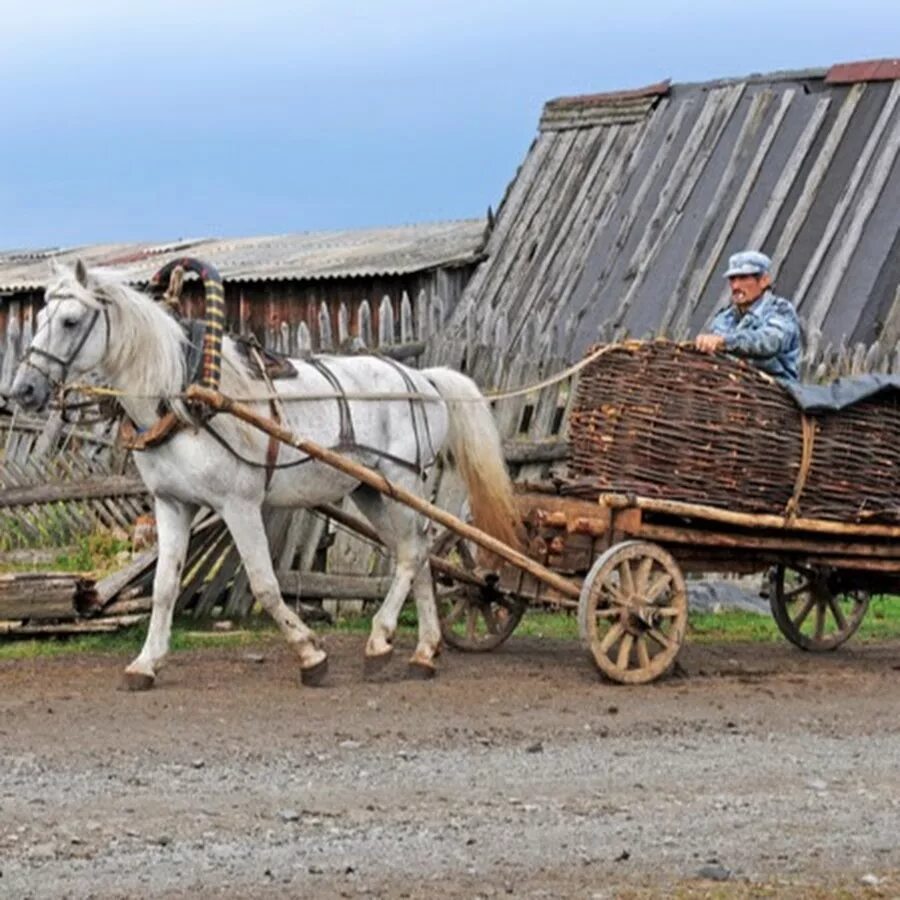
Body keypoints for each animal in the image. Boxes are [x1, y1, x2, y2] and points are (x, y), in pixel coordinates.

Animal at [8, 260, 520, 688]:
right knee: (419, 554)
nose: (23, 390)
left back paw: (380, 643)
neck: (183, 398)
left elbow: (264, 583)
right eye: (39, 318)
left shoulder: (239, 505)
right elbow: (164, 587)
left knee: (413, 554)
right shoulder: (172, 504)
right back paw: (424, 652)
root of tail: (423, 379)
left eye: (71, 321)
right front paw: (146, 663)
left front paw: (311, 655)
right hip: (369, 489)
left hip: (404, 480)